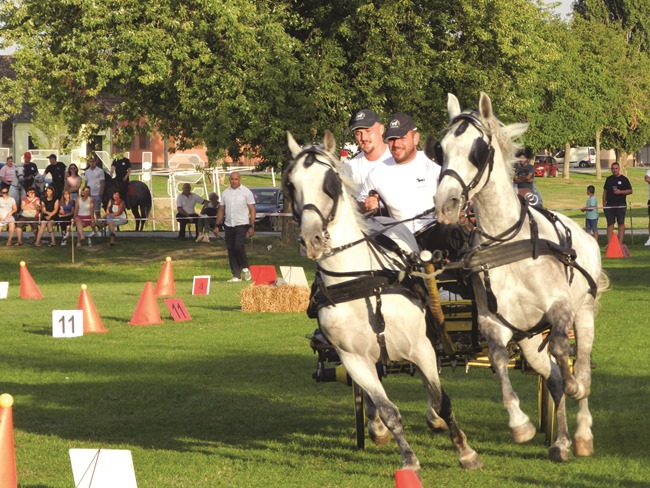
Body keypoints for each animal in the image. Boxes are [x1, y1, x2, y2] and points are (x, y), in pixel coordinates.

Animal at [284, 131, 480, 476]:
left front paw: (465, 451)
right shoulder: (354, 360)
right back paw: (377, 426)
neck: (359, 280)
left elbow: (441, 398)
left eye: (330, 182)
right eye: (291, 184)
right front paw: (407, 457)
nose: (311, 239)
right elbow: (388, 409)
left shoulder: (420, 346)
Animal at [430, 93, 604, 464]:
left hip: (584, 314)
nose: (446, 204)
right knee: (552, 378)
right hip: (527, 337)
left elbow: (562, 351)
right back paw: (561, 442)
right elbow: (499, 362)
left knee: (580, 366)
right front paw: (520, 425)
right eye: (441, 149)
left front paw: (574, 391)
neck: (506, 243)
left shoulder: (559, 308)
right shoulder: (493, 322)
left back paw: (582, 434)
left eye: (478, 150)